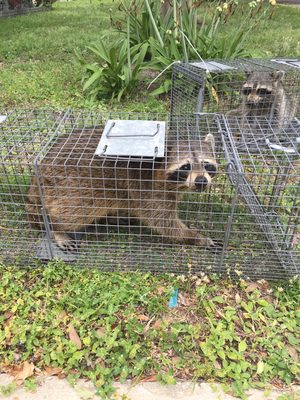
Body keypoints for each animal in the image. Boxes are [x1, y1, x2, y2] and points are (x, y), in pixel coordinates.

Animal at [25, 126, 218, 252]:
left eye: (206, 164)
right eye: (186, 167)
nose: (201, 181)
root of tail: (41, 169)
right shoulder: (148, 189)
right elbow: (164, 223)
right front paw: (194, 237)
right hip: (71, 186)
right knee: (71, 213)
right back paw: (57, 228)